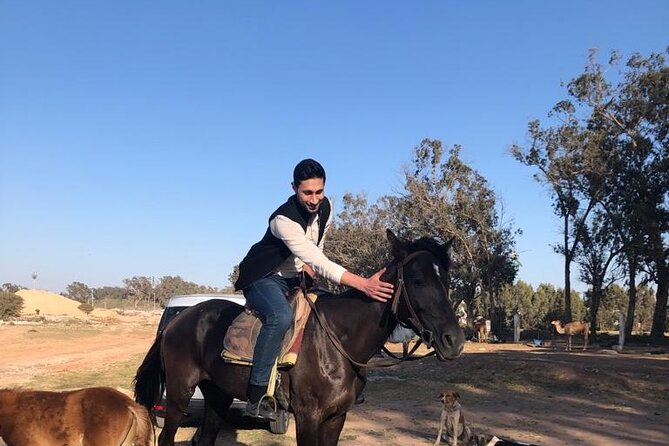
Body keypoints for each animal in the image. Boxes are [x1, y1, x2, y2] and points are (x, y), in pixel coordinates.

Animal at [133, 230, 462, 446]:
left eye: (446, 280)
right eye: (417, 281)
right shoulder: (308, 416)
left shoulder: (336, 417)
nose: (454, 340)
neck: (338, 342)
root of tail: (177, 322)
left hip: (217, 395)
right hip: (179, 394)